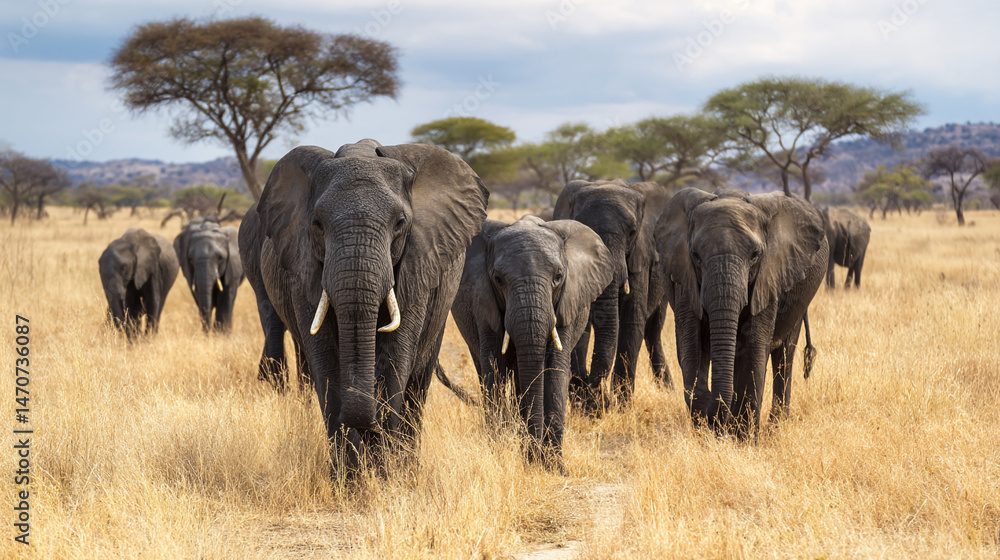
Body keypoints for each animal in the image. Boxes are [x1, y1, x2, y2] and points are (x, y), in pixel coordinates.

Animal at [239, 140, 489, 474]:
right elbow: (327, 361)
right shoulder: (304, 266)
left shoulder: (417, 263)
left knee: (418, 383)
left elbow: (395, 356)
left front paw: (384, 475)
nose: (369, 426)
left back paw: (408, 467)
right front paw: (348, 478)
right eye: (317, 224)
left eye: (400, 224)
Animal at [447, 215, 613, 470]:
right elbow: (494, 369)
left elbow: (555, 370)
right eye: (498, 279)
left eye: (558, 277)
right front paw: (502, 454)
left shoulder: (566, 303)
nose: (532, 457)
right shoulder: (483, 300)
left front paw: (555, 467)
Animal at [553, 179, 671, 409]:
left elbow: (632, 320)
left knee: (653, 331)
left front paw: (622, 406)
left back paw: (668, 390)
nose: (603, 395)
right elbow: (582, 325)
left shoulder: (639, 256)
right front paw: (585, 403)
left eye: (633, 232)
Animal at [655, 187, 828, 438]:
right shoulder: (684, 279)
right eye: (695, 255)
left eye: (755, 254)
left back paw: (776, 428)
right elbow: (691, 346)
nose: (717, 421)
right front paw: (707, 430)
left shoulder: (769, 277)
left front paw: (743, 439)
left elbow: (753, 346)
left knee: (784, 355)